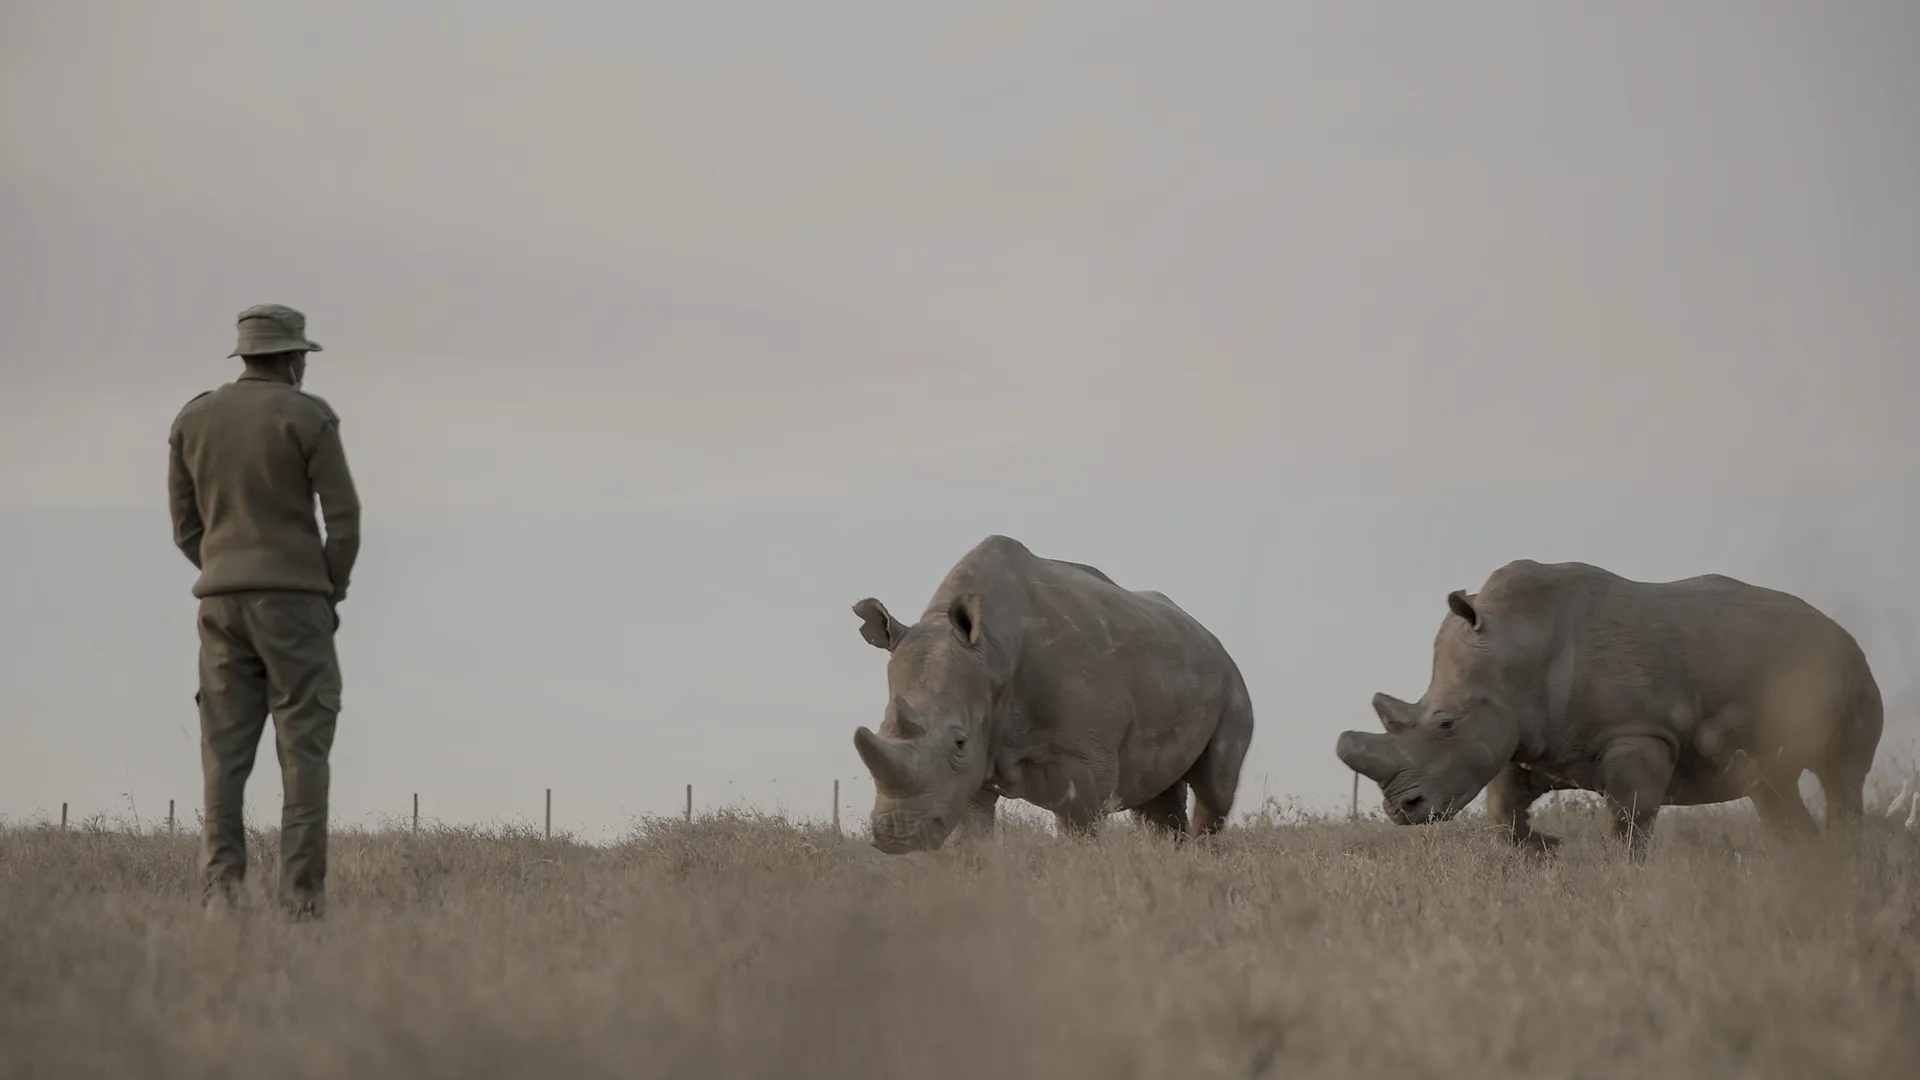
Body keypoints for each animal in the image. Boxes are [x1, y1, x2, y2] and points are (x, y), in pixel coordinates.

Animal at [849, 534, 1255, 854]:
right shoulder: (975, 758)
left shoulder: (1085, 765)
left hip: (1232, 680)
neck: (992, 655)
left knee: (1214, 790)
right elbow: (973, 833)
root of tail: (1209, 635)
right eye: (881, 729)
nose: (897, 837)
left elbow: (1078, 829)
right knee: (1154, 802)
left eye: (960, 742)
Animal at [1336, 559, 1883, 861]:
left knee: (1840, 776)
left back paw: (1843, 857)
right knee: (1771, 786)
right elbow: (1501, 811)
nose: (1400, 810)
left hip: (1849, 667)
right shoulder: (1528, 740)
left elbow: (1627, 818)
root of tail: (1842, 631)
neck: (1515, 644)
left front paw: (1622, 876)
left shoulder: (1640, 733)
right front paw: (1547, 849)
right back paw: (1807, 865)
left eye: (1447, 724)